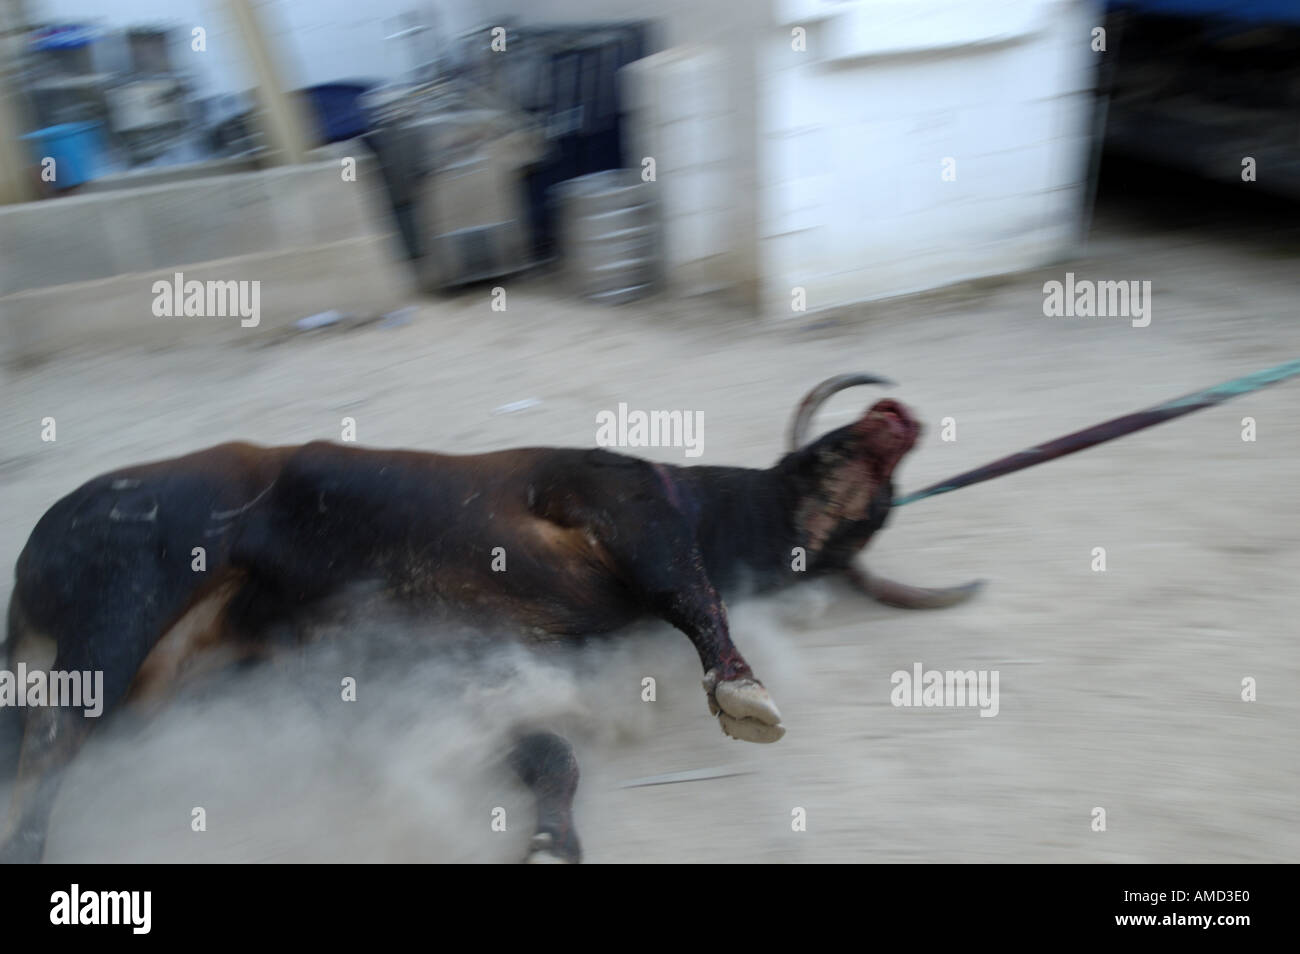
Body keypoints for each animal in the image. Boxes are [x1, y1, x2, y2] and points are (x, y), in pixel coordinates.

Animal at [0, 374, 977, 868]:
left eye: (873, 517)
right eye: (833, 451)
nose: (898, 418)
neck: (708, 506)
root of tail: (32, 550)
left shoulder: (454, 667)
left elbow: (550, 753)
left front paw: (549, 841)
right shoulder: (623, 508)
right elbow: (692, 595)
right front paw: (743, 691)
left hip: (155, 681)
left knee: (42, 740)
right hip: (119, 611)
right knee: (55, 741)